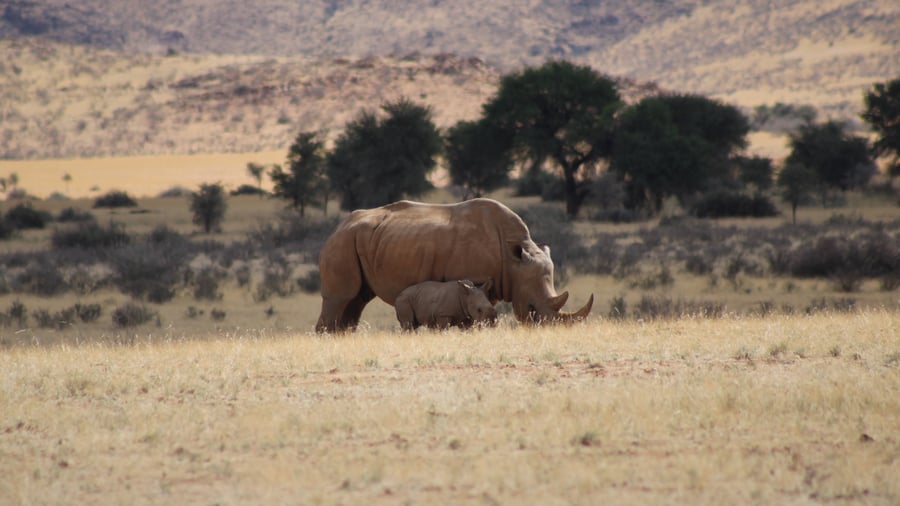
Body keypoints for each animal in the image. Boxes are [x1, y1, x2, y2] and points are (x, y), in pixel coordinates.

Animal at [315, 198, 593, 333]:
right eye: (532, 309)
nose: (547, 332)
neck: (513, 259)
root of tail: (337, 227)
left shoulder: (492, 283)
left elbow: (481, 312)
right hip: (342, 243)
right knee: (340, 298)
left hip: (363, 240)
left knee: (356, 302)